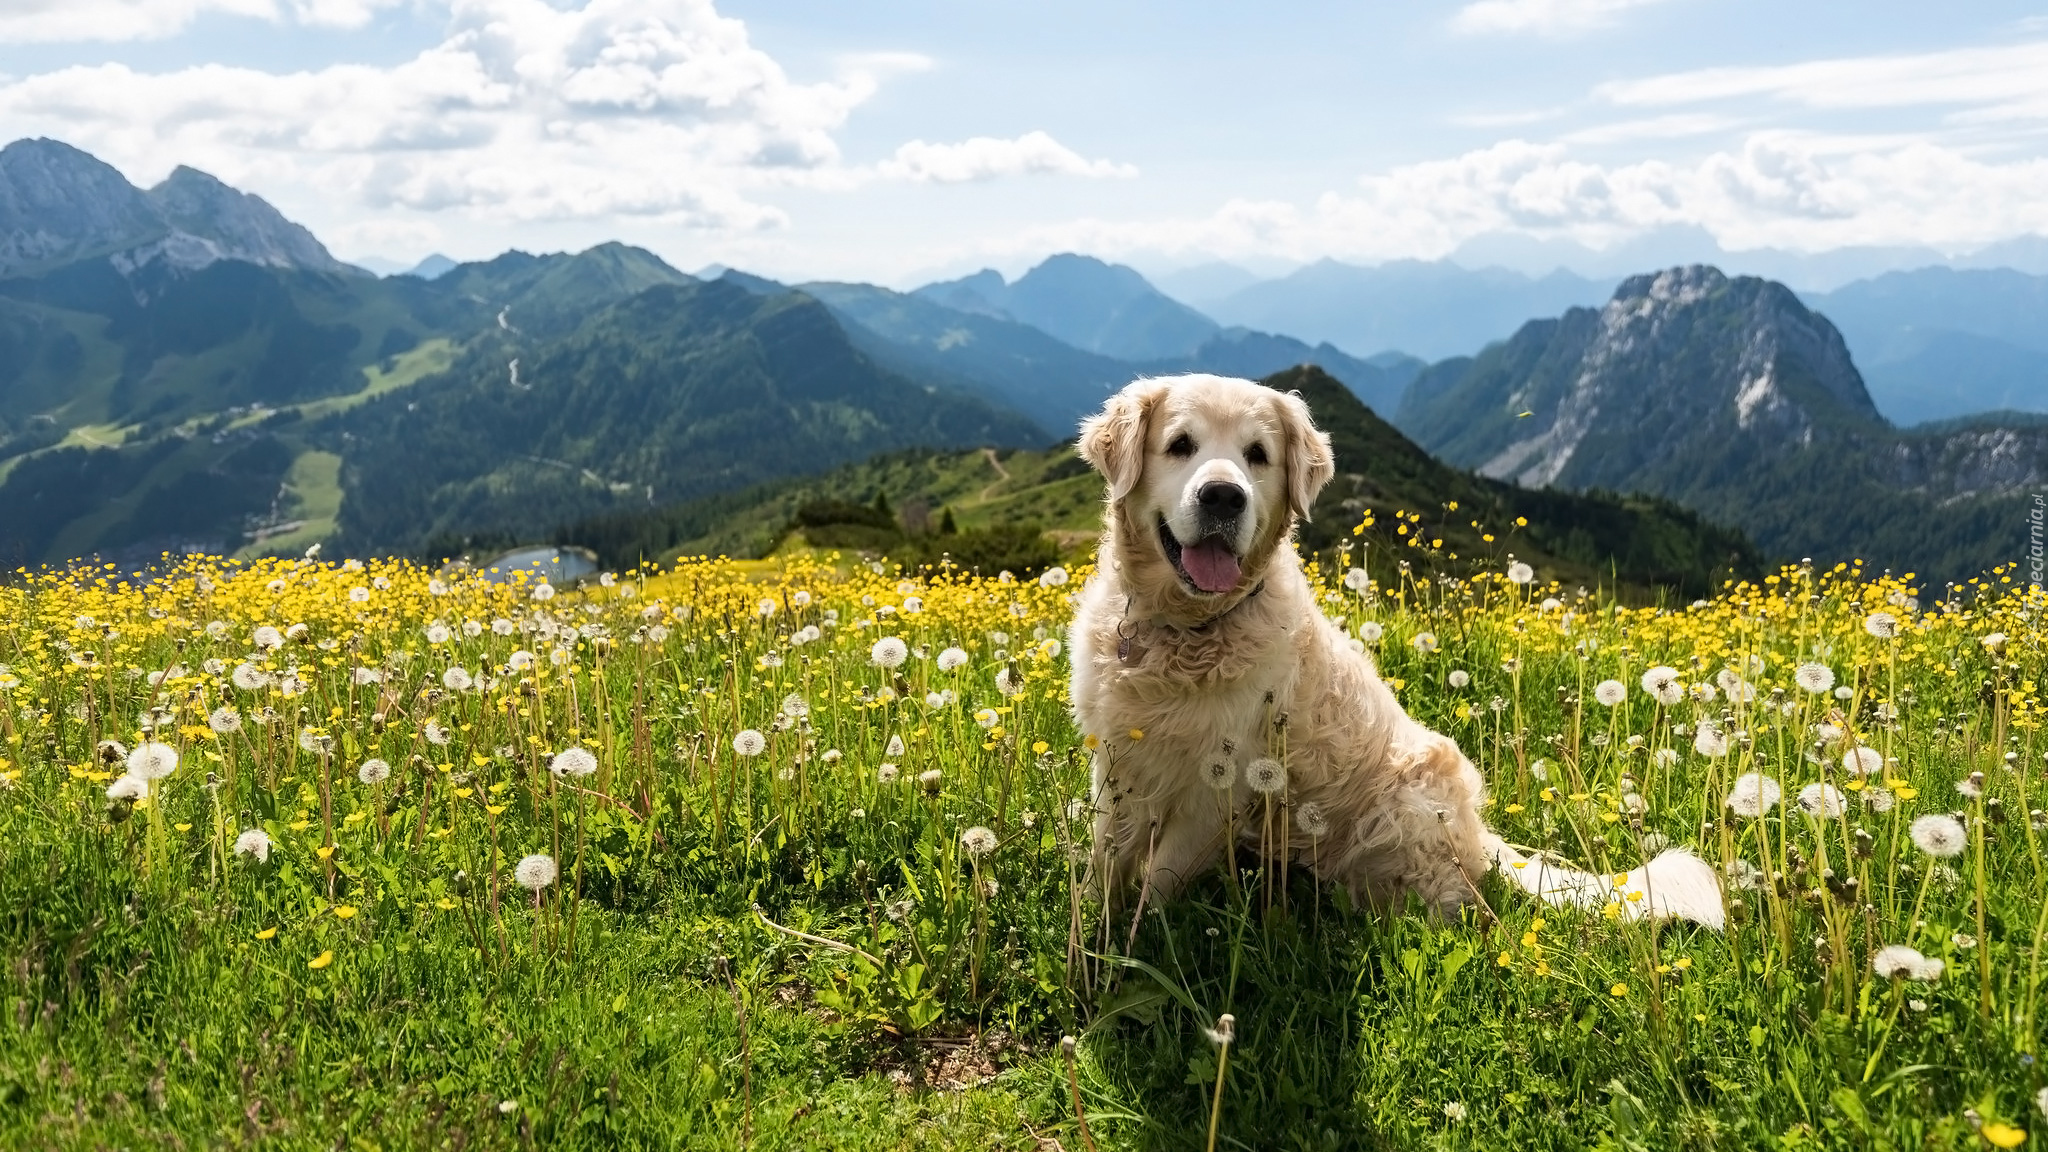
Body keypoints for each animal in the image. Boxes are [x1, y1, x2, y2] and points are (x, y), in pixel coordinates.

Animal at [1064, 373, 1720, 926]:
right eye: (1180, 444)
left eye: (1257, 455)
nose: (1225, 497)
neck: (1180, 630)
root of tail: (1480, 837)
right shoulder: (1116, 764)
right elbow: (1104, 863)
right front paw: (1092, 931)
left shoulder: (1216, 790)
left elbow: (1157, 885)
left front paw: (1135, 949)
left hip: (1406, 802)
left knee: (1456, 906)